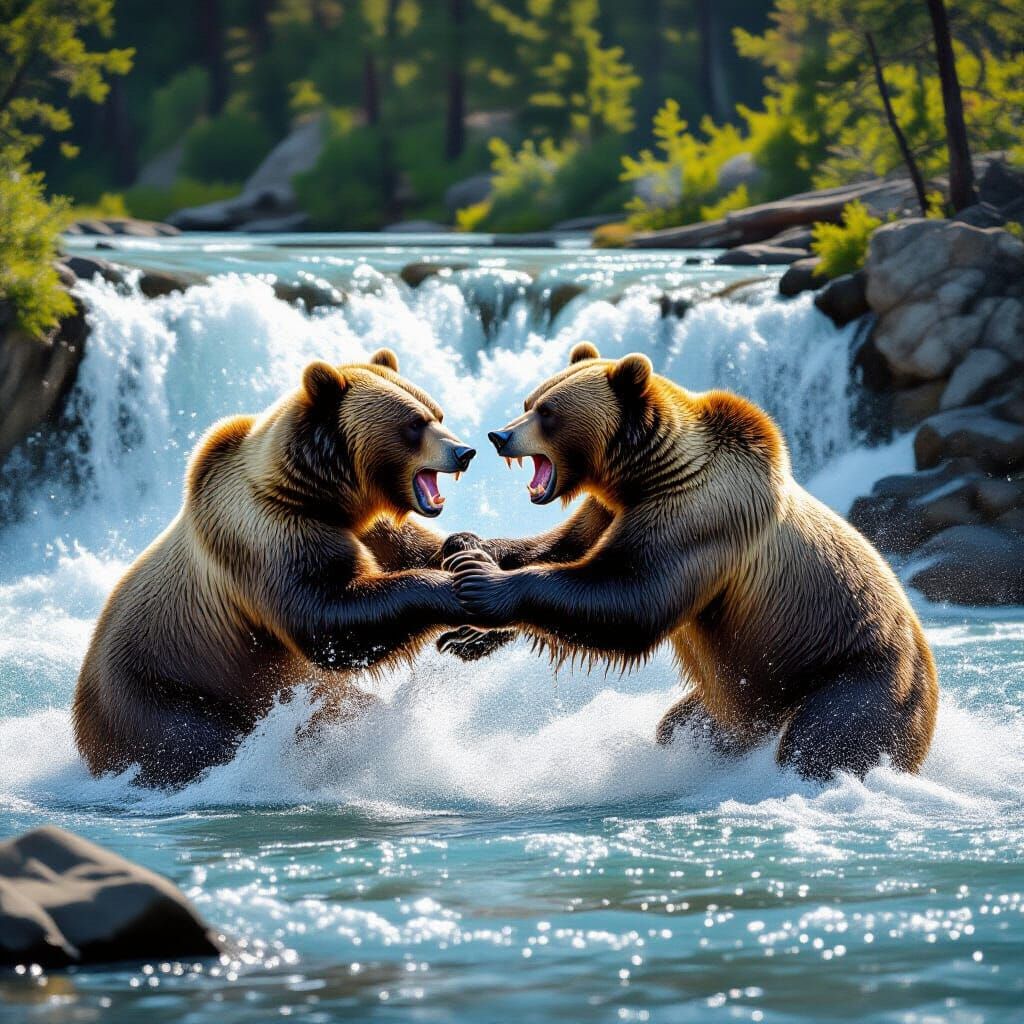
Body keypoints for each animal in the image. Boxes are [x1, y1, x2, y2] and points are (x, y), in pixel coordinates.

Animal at [73, 349, 477, 787]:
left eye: (437, 412)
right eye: (414, 423)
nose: (464, 451)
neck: (322, 497)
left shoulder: (373, 531)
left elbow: (415, 550)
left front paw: (474, 548)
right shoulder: (271, 536)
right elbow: (329, 618)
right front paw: (449, 589)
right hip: (165, 694)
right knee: (198, 743)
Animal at [442, 341, 939, 781]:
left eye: (548, 412)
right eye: (529, 401)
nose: (499, 435)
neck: (645, 475)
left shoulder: (699, 518)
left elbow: (631, 598)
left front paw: (481, 581)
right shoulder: (609, 510)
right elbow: (566, 548)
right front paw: (466, 573)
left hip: (853, 678)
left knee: (823, 743)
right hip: (735, 701)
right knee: (685, 725)